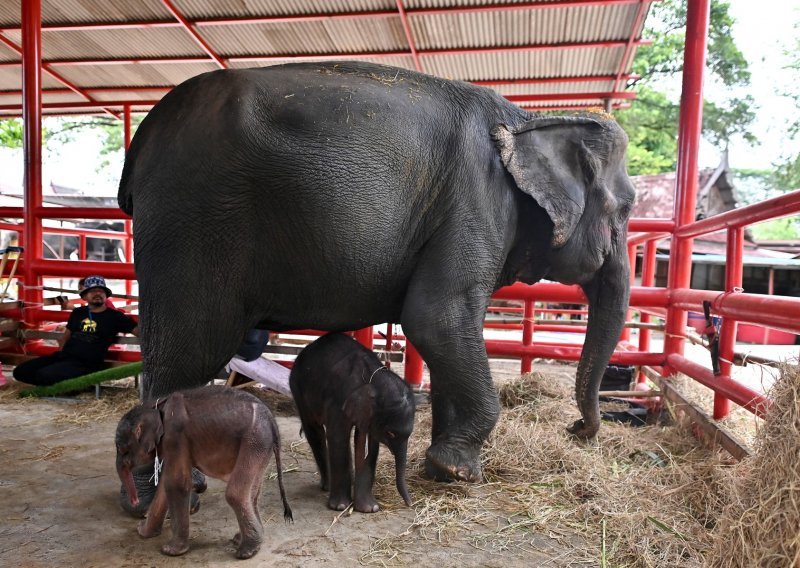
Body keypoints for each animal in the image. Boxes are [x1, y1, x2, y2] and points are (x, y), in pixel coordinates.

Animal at [114, 386, 292, 560]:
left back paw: (246, 552)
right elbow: (165, 484)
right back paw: (242, 540)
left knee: (236, 494)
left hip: (254, 441)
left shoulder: (175, 436)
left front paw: (170, 551)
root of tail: (272, 421)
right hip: (261, 447)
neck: (155, 406)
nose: (135, 502)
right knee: (252, 494)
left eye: (122, 449)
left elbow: (176, 484)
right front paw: (142, 532)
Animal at [119, 61, 636, 484]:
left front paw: (442, 468)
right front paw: (459, 472)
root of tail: (143, 137)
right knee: (187, 354)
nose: (578, 428)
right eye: (628, 208)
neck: (529, 117)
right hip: (194, 222)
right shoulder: (477, 203)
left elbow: (448, 331)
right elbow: (436, 317)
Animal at [290, 332, 416, 516]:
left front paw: (370, 509)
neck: (372, 377)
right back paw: (327, 486)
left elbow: (367, 444)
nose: (410, 504)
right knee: (314, 430)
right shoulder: (338, 400)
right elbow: (337, 437)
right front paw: (340, 507)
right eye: (391, 433)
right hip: (297, 388)